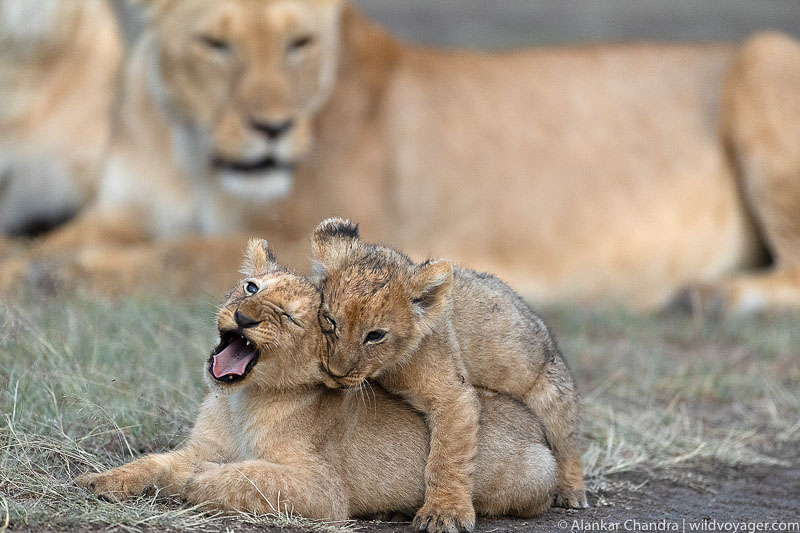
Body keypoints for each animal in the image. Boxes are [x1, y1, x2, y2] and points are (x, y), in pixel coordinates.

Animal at [75, 239, 557, 526]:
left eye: (290, 317)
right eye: (251, 288)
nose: (244, 317)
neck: (240, 400)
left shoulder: (325, 492)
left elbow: (250, 477)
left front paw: (198, 481)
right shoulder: (201, 446)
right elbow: (154, 462)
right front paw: (98, 481)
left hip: (532, 473)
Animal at [310, 218, 584, 529]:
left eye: (375, 335)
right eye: (330, 320)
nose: (335, 372)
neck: (388, 368)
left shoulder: (454, 396)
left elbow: (448, 457)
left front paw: (444, 513)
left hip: (552, 390)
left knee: (567, 444)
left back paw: (571, 493)